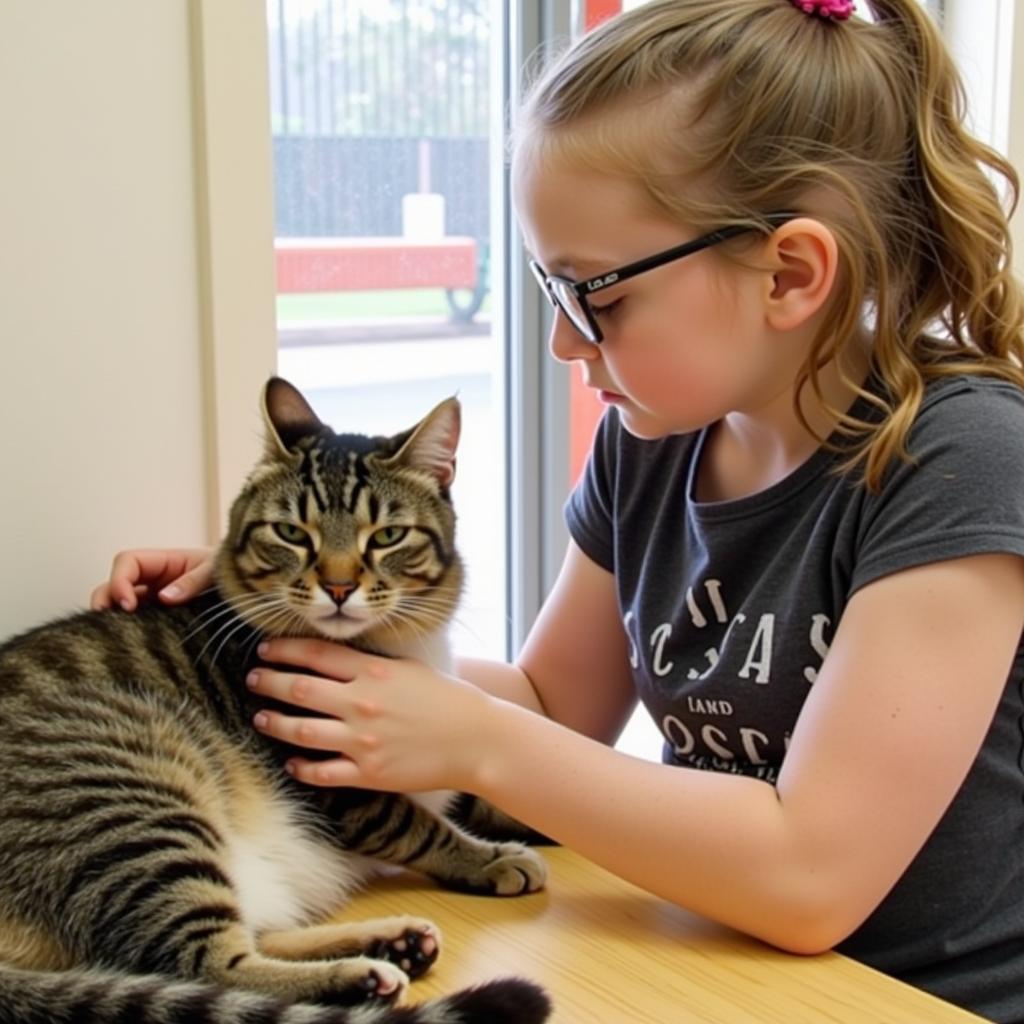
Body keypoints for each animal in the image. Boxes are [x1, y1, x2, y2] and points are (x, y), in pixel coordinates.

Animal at [0, 378, 552, 1024]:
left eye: (387, 536)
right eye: (292, 533)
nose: (338, 586)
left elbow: (478, 790)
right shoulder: (341, 781)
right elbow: (419, 824)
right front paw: (489, 857)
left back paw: (391, 944)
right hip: (135, 809)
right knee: (205, 967)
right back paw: (359, 975)